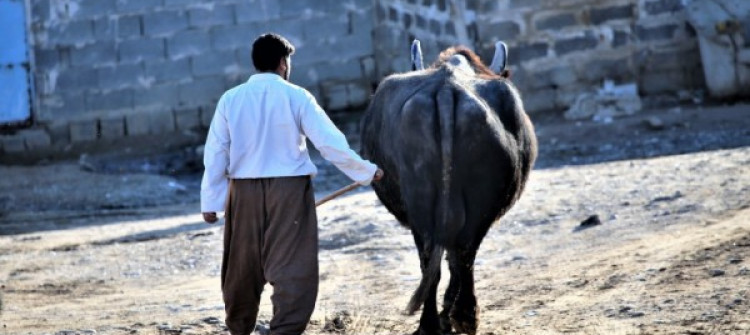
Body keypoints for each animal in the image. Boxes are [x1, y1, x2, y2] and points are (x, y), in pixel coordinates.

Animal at [362, 42, 536, 335]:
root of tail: (447, 89)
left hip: (426, 201)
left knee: (438, 257)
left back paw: (438, 322)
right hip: (475, 204)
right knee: (461, 253)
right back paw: (461, 317)